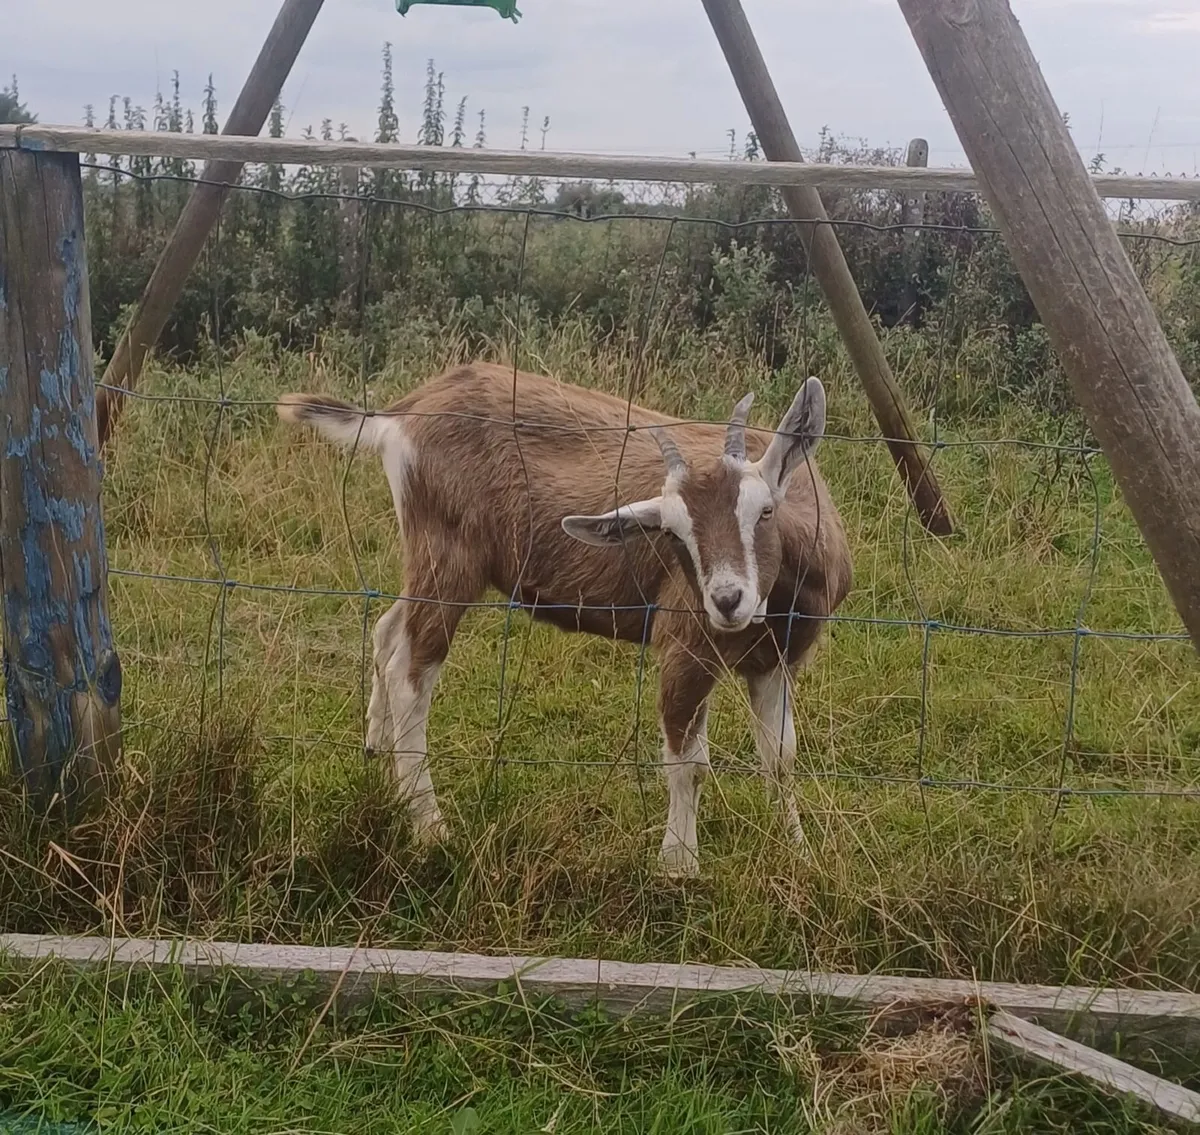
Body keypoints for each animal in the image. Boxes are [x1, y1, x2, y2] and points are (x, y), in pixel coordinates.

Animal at [277, 362, 852, 876]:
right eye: (671, 534)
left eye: (765, 511)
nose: (727, 600)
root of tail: (403, 413)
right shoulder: (686, 644)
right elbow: (689, 762)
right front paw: (679, 868)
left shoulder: (776, 659)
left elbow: (780, 759)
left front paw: (799, 854)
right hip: (448, 558)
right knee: (410, 675)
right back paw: (430, 828)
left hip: (432, 565)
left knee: (387, 630)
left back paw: (377, 752)